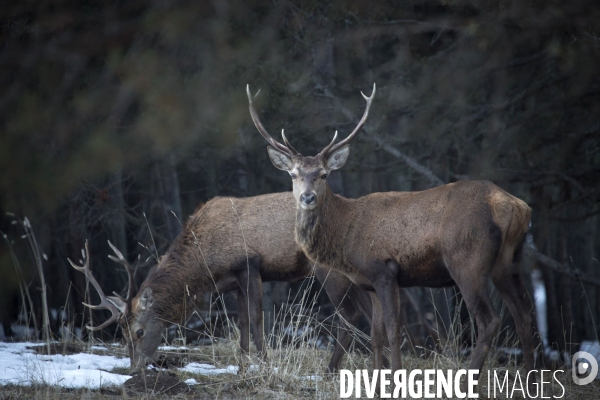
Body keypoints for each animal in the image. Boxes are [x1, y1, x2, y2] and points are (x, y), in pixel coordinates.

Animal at [67, 193, 384, 372]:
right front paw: (242, 366)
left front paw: (266, 365)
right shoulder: (233, 282)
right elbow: (241, 323)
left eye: (139, 331)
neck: (204, 264)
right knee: (370, 311)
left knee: (350, 313)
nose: (134, 368)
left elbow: (256, 319)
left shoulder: (250, 264)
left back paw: (331, 369)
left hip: (327, 267)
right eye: (121, 333)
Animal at [246, 83, 536, 378]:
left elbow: (394, 331)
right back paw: (531, 377)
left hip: (467, 260)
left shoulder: (384, 269)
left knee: (490, 320)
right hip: (509, 263)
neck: (345, 236)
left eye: (324, 174)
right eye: (293, 174)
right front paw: (377, 380)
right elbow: (376, 334)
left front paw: (396, 377)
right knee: (525, 315)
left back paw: (469, 381)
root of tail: (515, 206)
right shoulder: (369, 280)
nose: (307, 197)